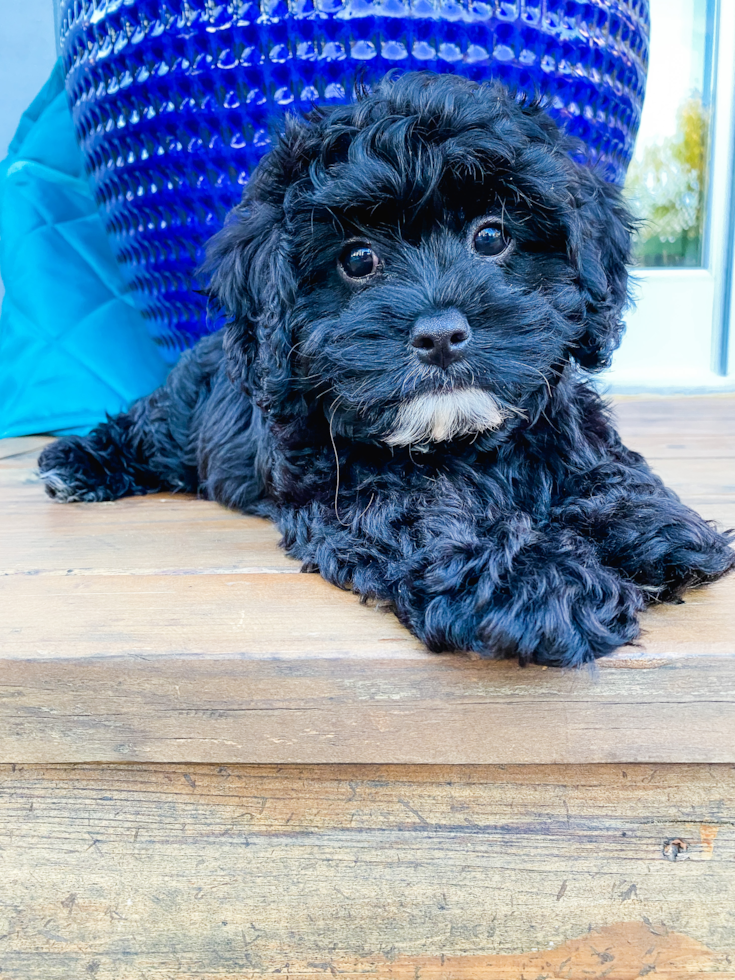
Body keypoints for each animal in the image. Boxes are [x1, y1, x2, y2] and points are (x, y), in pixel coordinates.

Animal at [41, 69, 735, 668]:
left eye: (491, 236)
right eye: (357, 259)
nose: (440, 335)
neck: (459, 440)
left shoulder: (558, 417)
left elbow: (600, 464)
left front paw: (650, 525)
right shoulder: (347, 488)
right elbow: (431, 520)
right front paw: (543, 582)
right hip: (180, 417)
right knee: (146, 429)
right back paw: (77, 463)